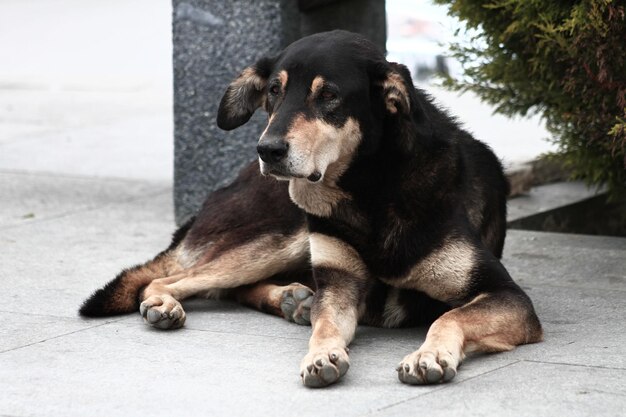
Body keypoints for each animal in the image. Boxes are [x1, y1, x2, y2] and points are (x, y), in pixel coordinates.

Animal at [80, 30, 540, 386]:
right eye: (273, 92)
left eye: (329, 95)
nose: (268, 150)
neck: (370, 191)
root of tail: (226, 185)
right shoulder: (339, 287)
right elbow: (326, 325)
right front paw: (319, 354)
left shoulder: (507, 295)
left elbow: (449, 317)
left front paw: (427, 355)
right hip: (281, 237)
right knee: (174, 279)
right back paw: (174, 304)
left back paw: (290, 298)